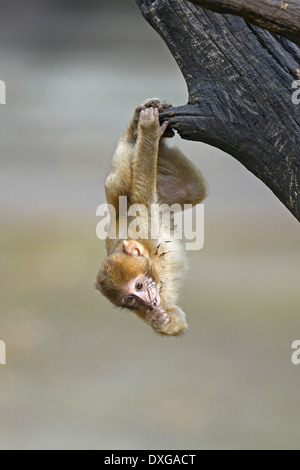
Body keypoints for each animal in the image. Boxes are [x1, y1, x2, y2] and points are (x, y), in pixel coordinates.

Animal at [95, 98, 207, 334]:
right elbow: (176, 319)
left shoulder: (144, 227)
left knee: (123, 183)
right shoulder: (146, 308)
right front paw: (158, 320)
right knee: (189, 188)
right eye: (130, 299)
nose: (147, 300)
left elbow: (142, 190)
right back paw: (141, 131)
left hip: (128, 195)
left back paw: (140, 132)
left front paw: (148, 131)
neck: (153, 263)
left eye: (139, 285)